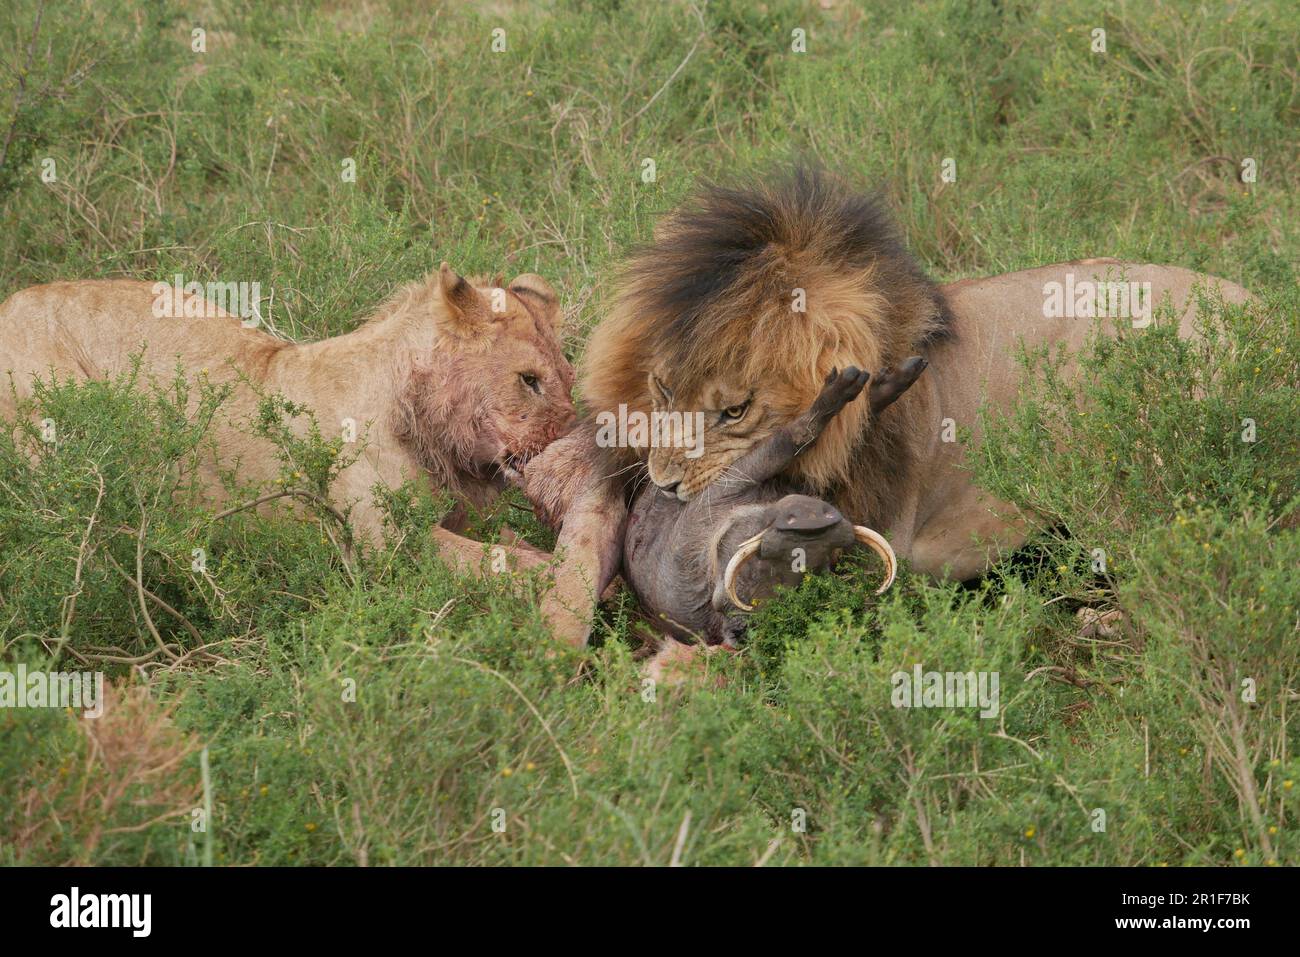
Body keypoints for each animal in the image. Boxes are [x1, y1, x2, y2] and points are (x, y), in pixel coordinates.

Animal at [0, 263, 576, 567]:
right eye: (529, 380)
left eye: (569, 376)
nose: (571, 440)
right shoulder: (386, 545)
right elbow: (510, 565)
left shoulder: (463, 517)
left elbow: (515, 547)